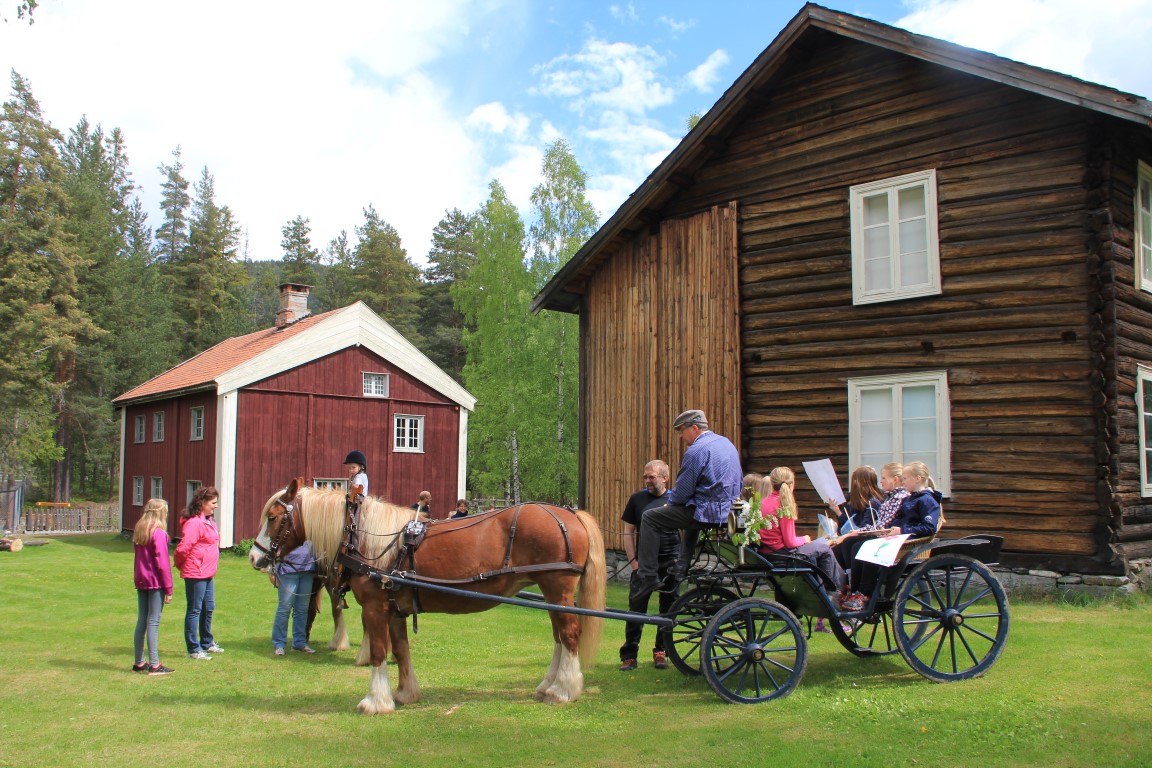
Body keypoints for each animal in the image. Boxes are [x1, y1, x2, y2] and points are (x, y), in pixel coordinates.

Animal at [248, 481, 608, 713]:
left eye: (273, 517)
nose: (255, 557)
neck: (369, 539)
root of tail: (570, 514)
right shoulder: (394, 609)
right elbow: (401, 650)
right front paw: (404, 693)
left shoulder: (375, 609)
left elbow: (378, 653)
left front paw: (375, 702)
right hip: (551, 593)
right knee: (559, 637)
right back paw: (549, 685)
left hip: (557, 588)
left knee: (569, 634)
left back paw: (564, 690)